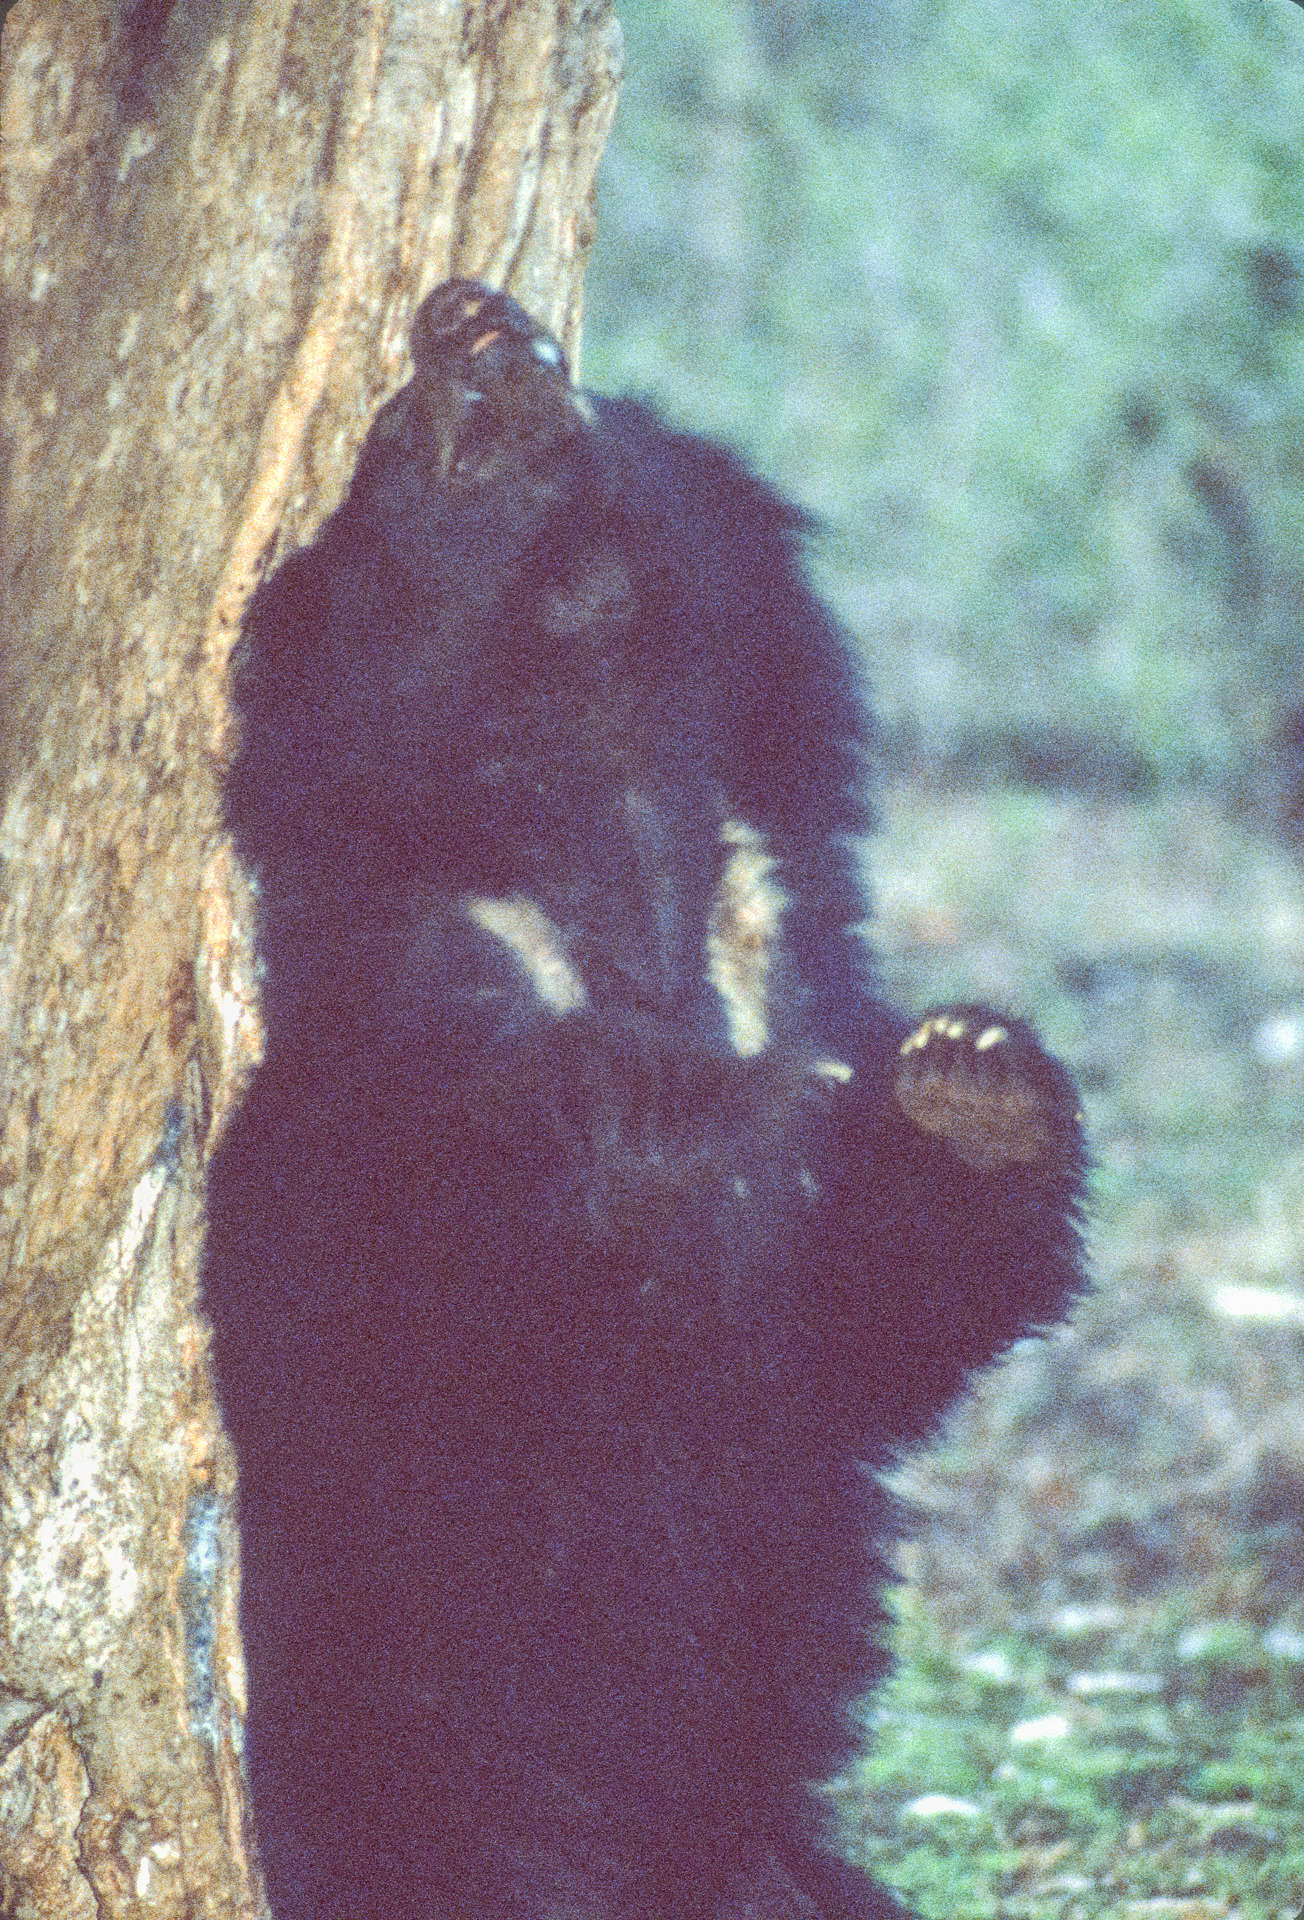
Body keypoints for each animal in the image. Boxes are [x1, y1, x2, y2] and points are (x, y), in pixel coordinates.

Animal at [201, 274, 1083, 1920]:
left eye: (589, 392)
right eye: (384, 452)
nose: (470, 315)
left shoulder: (786, 967)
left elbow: (876, 1311)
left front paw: (972, 1078)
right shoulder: (412, 1037)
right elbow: (539, 1222)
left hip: (741, 1821)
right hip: (403, 1767)